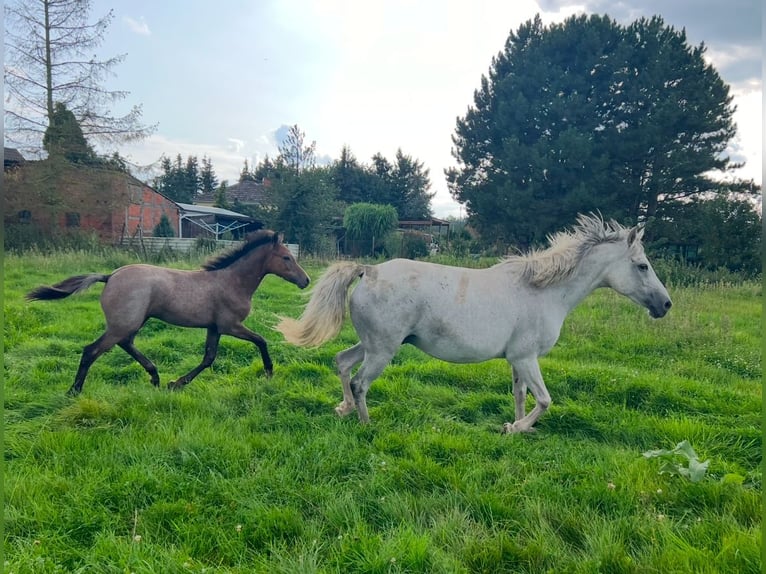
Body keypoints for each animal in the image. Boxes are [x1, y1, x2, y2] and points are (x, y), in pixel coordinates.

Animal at [280, 215, 672, 432]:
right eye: (642, 265)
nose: (665, 305)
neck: (543, 291)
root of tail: (369, 270)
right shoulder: (527, 358)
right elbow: (545, 400)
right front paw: (516, 428)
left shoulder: (518, 360)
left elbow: (520, 394)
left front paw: (516, 426)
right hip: (382, 351)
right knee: (360, 382)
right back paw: (366, 425)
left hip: (375, 345)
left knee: (342, 363)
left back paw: (343, 409)